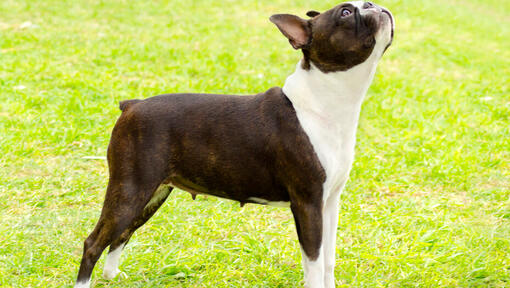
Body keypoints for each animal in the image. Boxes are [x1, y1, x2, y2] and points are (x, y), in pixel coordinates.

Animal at [74, 1, 394, 286]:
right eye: (345, 12)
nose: (373, 4)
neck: (325, 100)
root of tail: (132, 105)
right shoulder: (308, 204)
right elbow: (313, 263)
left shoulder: (330, 202)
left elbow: (328, 260)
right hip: (131, 189)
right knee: (94, 242)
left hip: (152, 193)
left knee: (121, 234)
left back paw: (112, 275)